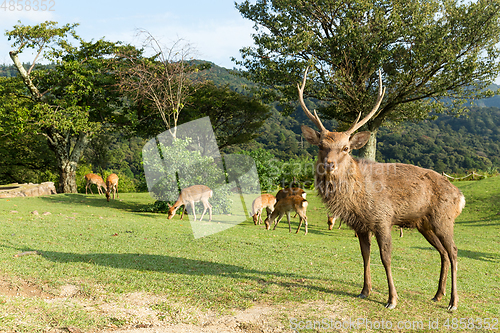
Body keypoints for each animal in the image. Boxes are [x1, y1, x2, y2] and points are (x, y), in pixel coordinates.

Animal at [296, 67, 464, 308]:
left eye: (346, 148)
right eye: (320, 145)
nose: (329, 164)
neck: (357, 199)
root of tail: (460, 196)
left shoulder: (382, 218)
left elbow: (386, 257)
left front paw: (392, 299)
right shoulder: (360, 225)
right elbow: (365, 255)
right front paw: (365, 290)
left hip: (444, 218)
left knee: (454, 252)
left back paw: (453, 301)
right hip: (425, 224)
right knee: (442, 252)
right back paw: (437, 294)